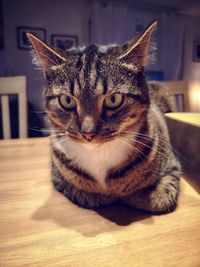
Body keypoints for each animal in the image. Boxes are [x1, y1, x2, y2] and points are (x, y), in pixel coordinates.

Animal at [27, 21, 181, 215]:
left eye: (113, 99)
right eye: (67, 100)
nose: (88, 133)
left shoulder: (172, 165)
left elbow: (158, 197)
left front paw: (136, 194)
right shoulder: (58, 176)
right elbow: (89, 194)